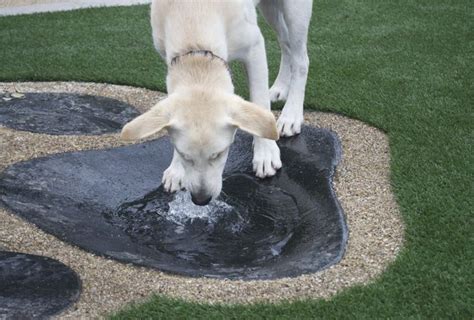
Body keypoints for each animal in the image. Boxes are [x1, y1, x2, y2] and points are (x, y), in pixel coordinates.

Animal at [120, 0, 312, 205]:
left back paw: (291, 115)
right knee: (285, 44)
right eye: (184, 155)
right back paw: (280, 88)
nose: (201, 200)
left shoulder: (254, 46)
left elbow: (260, 103)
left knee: (300, 58)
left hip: (295, 11)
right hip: (270, 9)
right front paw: (176, 169)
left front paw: (265, 154)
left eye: (220, 153)